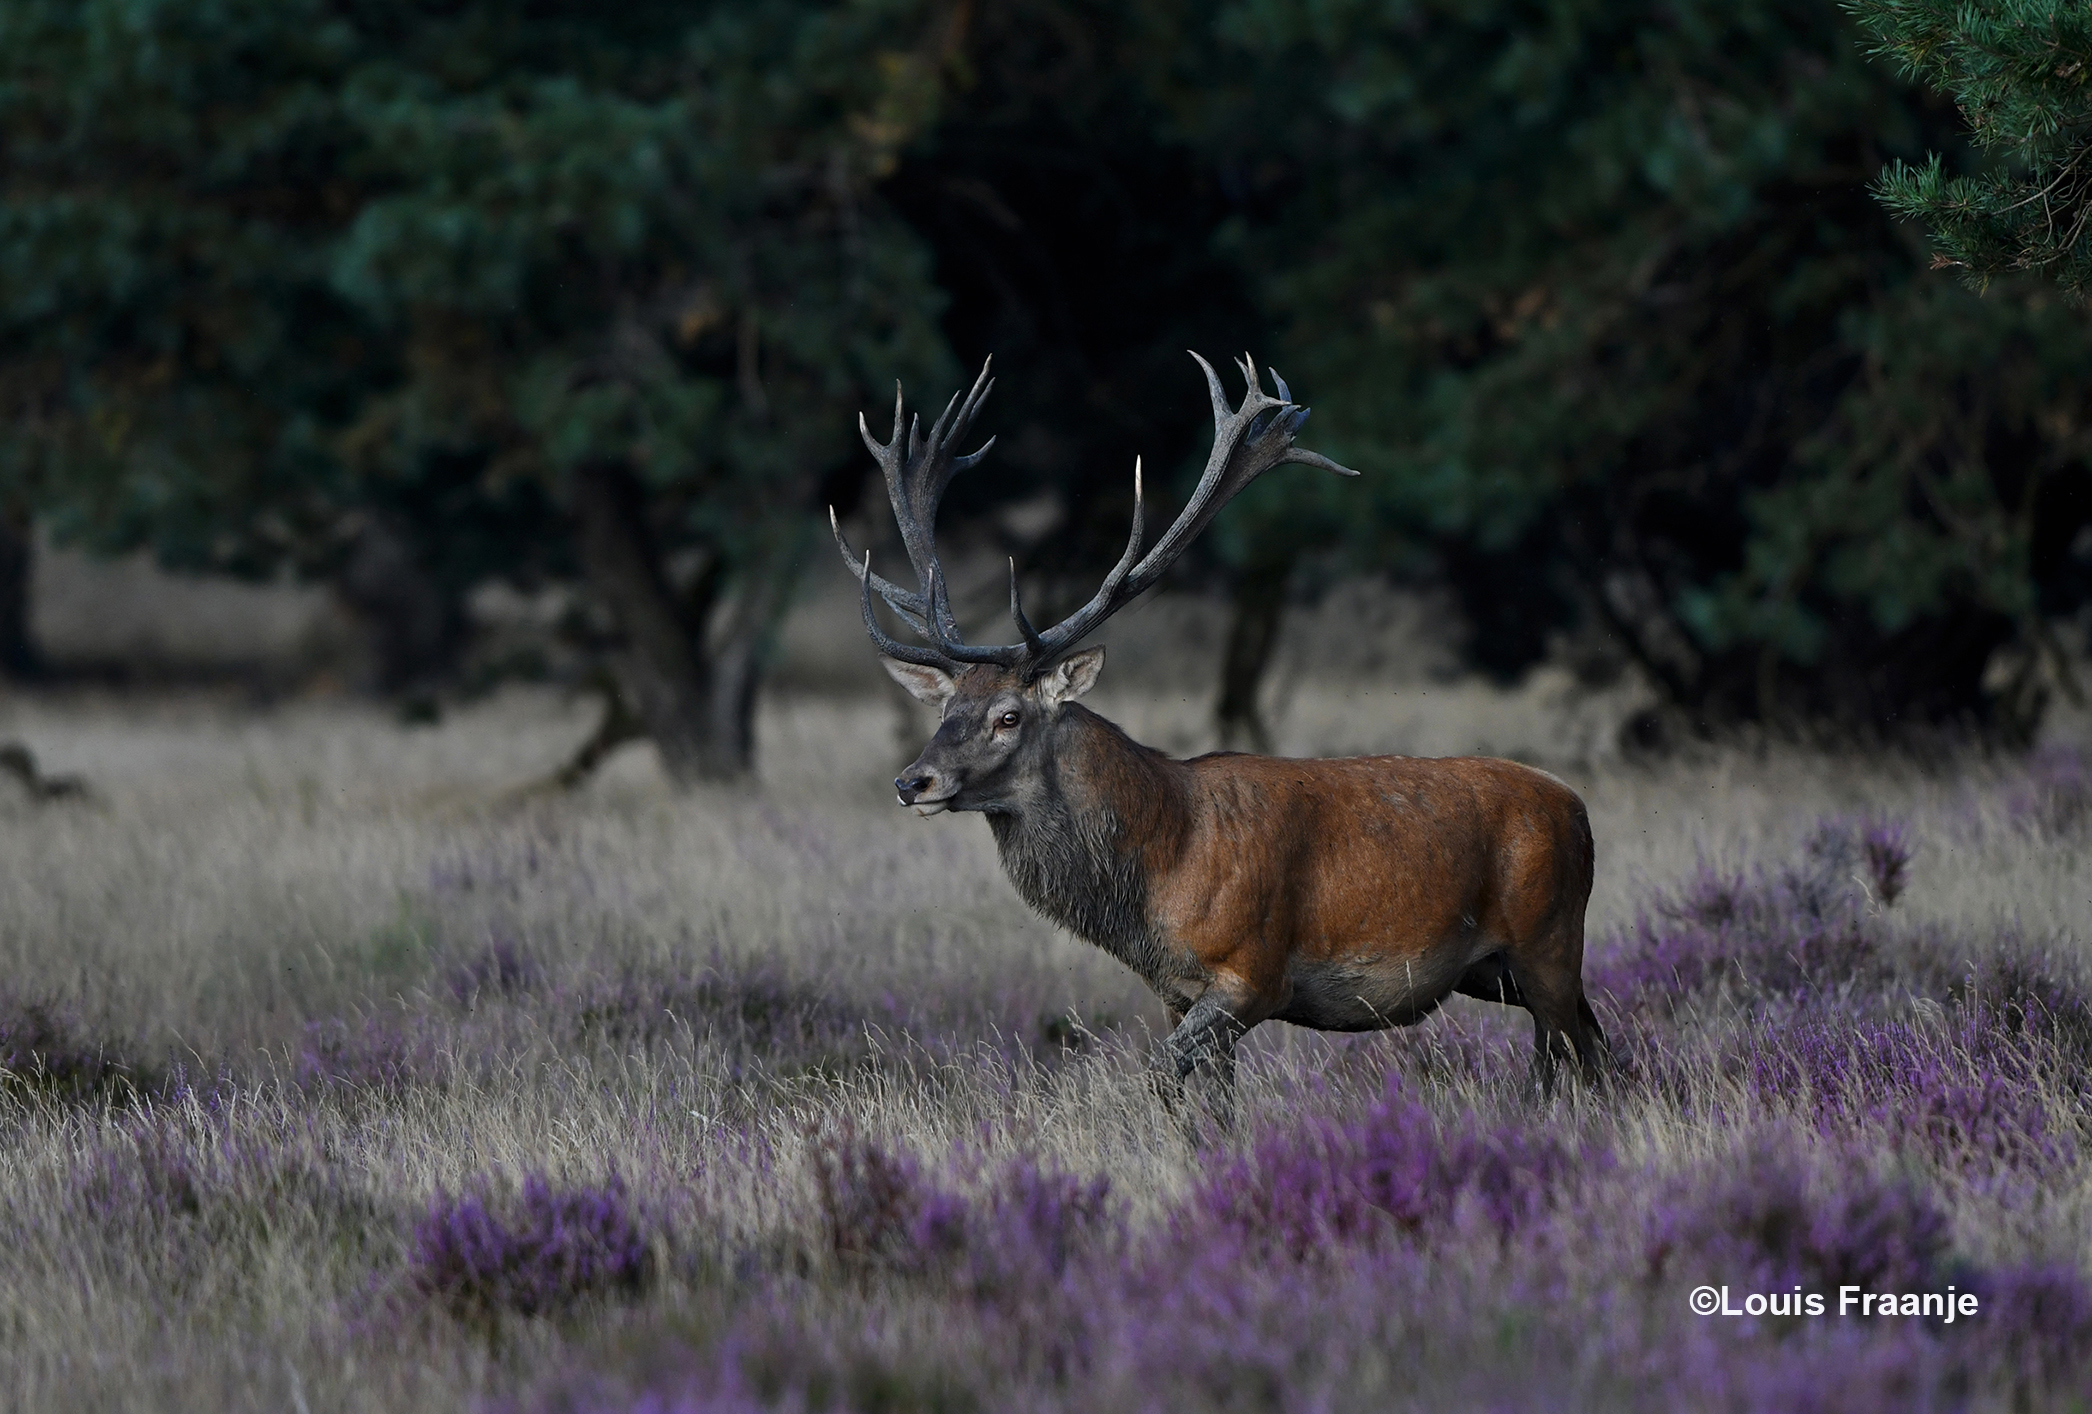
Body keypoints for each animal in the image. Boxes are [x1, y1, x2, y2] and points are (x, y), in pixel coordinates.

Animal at [824, 347, 1606, 1121]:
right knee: (1585, 1041)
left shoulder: (1252, 972)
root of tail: (1578, 808)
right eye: (945, 710)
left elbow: (1160, 1076)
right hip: (1493, 969)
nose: (911, 781)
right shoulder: (1179, 992)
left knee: (1572, 1045)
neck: (1159, 872)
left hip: (1549, 938)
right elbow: (1213, 1101)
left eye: (1009, 716)